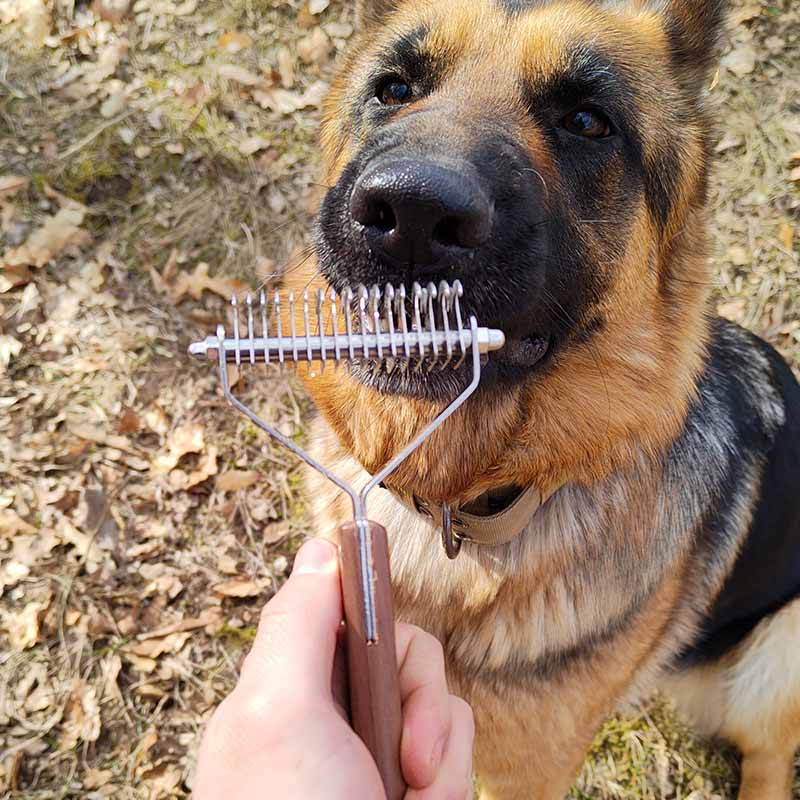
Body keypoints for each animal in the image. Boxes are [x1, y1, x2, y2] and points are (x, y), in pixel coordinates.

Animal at [290, 3, 796, 796]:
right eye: (395, 88)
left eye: (586, 120)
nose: (409, 211)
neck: (458, 508)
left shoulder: (529, 769)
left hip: (778, 656)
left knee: (771, 754)